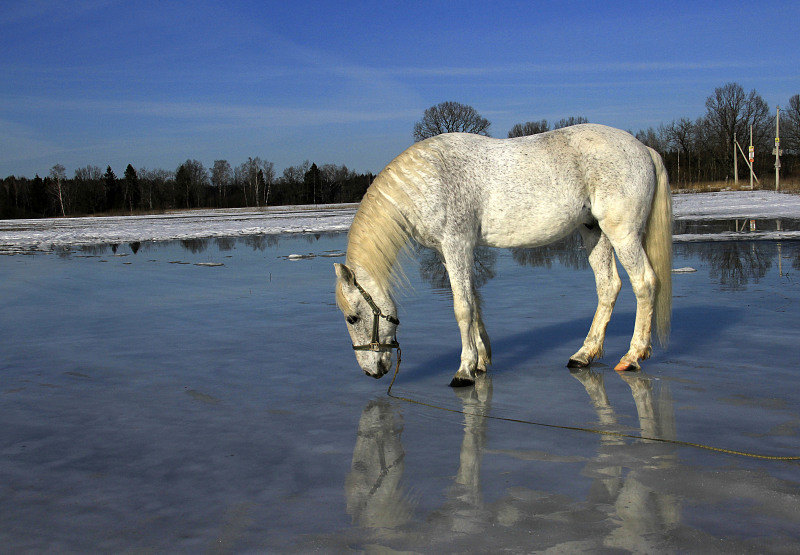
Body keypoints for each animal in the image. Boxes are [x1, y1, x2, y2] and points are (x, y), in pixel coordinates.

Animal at [334, 125, 672, 386]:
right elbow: (473, 302)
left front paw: (464, 370)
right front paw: (481, 362)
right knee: (608, 286)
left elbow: (462, 308)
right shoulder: (452, 252)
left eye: (352, 317)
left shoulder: (456, 244)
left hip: (622, 232)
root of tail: (643, 148)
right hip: (594, 232)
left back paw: (632, 356)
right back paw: (583, 355)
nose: (371, 372)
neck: (428, 181)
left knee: (644, 283)